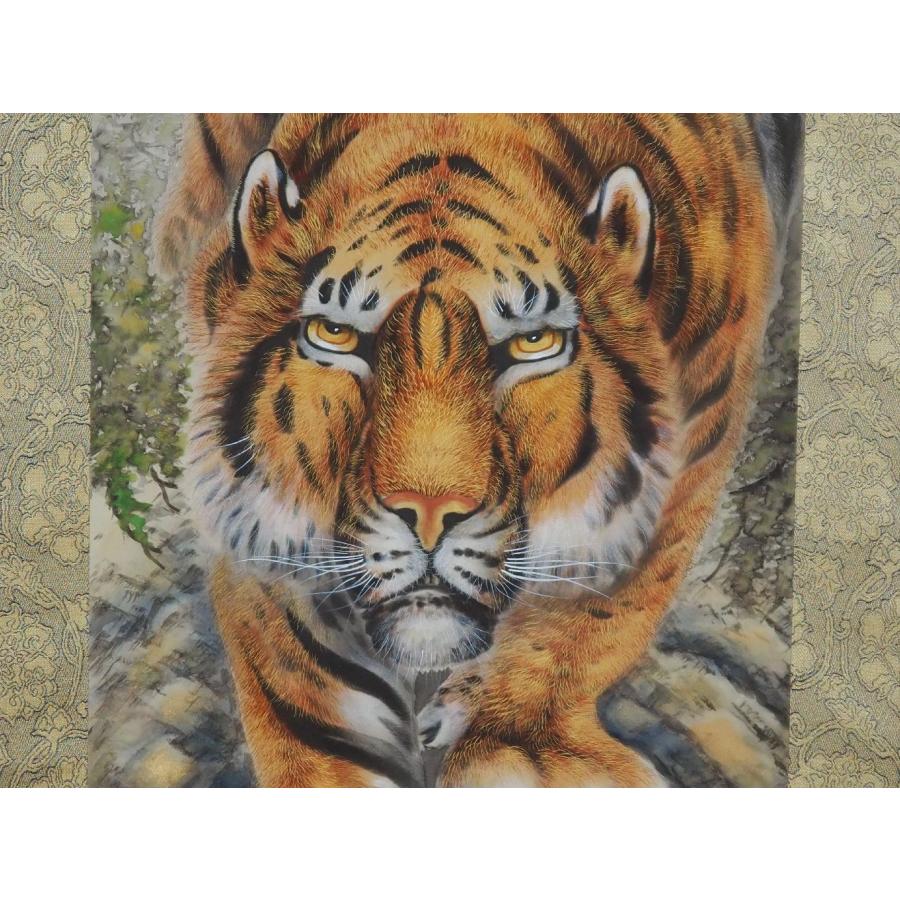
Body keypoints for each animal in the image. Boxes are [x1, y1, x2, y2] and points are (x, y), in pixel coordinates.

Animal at [155, 113, 800, 787]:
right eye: (335, 335)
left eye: (532, 344)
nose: (429, 514)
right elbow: (294, 658)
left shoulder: (694, 443)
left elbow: (594, 613)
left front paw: (516, 745)